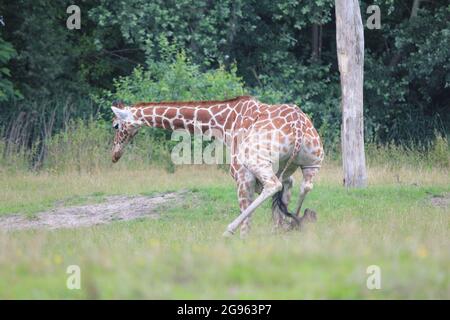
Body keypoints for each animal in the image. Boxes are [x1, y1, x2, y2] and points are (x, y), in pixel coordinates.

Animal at [110, 96, 326, 236]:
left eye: (115, 125)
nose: (114, 155)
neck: (225, 121)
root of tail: (298, 128)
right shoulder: (284, 173)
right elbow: (281, 202)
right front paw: (280, 228)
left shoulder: (242, 176)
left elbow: (248, 219)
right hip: (313, 162)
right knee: (305, 186)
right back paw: (294, 222)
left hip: (252, 161)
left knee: (273, 186)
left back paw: (229, 230)